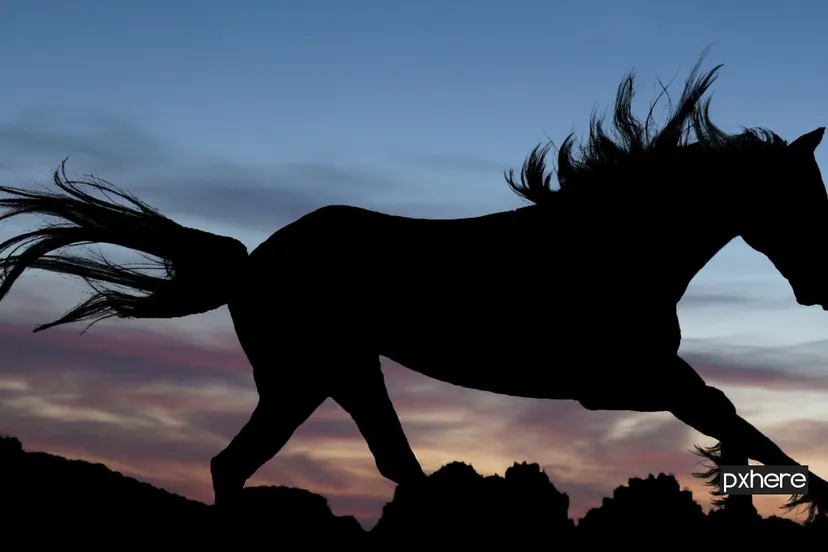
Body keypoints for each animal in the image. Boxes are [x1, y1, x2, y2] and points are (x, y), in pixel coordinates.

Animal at [1, 57, 827, 522]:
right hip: (310, 374)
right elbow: (731, 416)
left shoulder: (633, 381)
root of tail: (253, 261)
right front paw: (807, 494)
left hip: (333, 375)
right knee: (248, 465)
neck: (614, 246)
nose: (820, 285)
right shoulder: (623, 379)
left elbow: (731, 420)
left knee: (363, 466)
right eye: (804, 194)